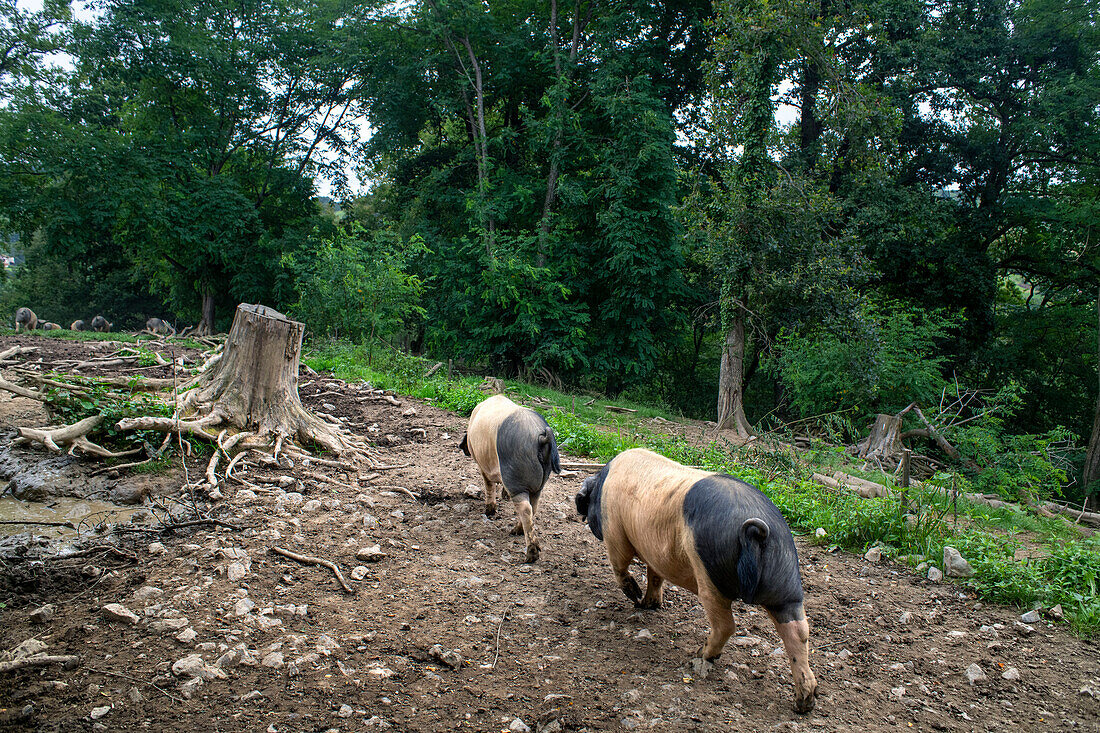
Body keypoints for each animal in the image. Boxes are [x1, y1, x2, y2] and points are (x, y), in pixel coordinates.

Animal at [457, 394, 558, 559]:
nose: (461, 446)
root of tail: (541, 436)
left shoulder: (482, 466)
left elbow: (489, 485)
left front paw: (489, 511)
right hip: (539, 485)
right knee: (533, 506)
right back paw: (515, 531)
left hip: (516, 480)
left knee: (525, 509)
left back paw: (530, 554)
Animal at [576, 449, 818, 708]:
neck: (602, 486)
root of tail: (760, 530)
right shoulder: (655, 553)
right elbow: (655, 576)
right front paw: (649, 605)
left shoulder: (614, 531)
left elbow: (620, 565)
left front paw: (636, 598)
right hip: (786, 584)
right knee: (798, 631)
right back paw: (805, 702)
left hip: (710, 577)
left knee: (726, 625)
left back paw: (701, 654)